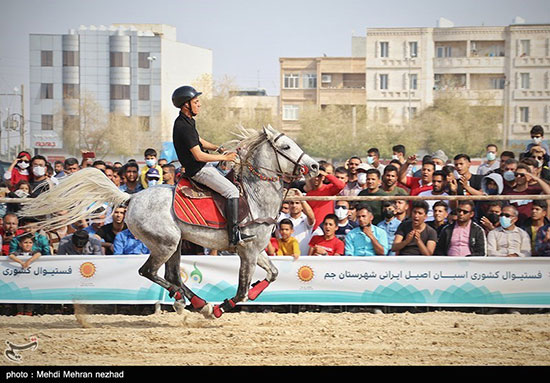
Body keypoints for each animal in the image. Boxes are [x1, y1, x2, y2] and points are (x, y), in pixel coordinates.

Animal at [18, 125, 320, 318]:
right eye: (285, 146)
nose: (316, 166)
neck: (256, 196)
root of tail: (131, 198)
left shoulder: (256, 249)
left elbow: (273, 274)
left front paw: (239, 299)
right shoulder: (246, 250)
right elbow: (242, 291)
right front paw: (221, 307)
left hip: (175, 244)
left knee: (171, 275)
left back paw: (196, 302)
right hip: (166, 243)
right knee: (150, 272)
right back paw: (190, 302)